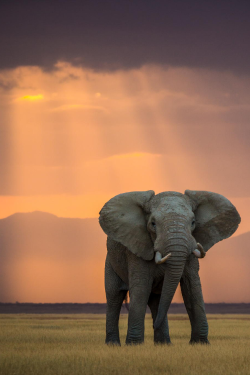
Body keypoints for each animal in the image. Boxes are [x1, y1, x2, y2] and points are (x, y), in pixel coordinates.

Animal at [98, 191, 241, 346]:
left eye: (193, 222)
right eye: (153, 224)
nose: (153, 325)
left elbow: (192, 288)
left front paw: (201, 344)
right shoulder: (136, 250)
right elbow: (141, 289)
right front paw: (134, 345)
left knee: (156, 300)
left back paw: (163, 344)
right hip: (110, 262)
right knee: (114, 297)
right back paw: (113, 345)